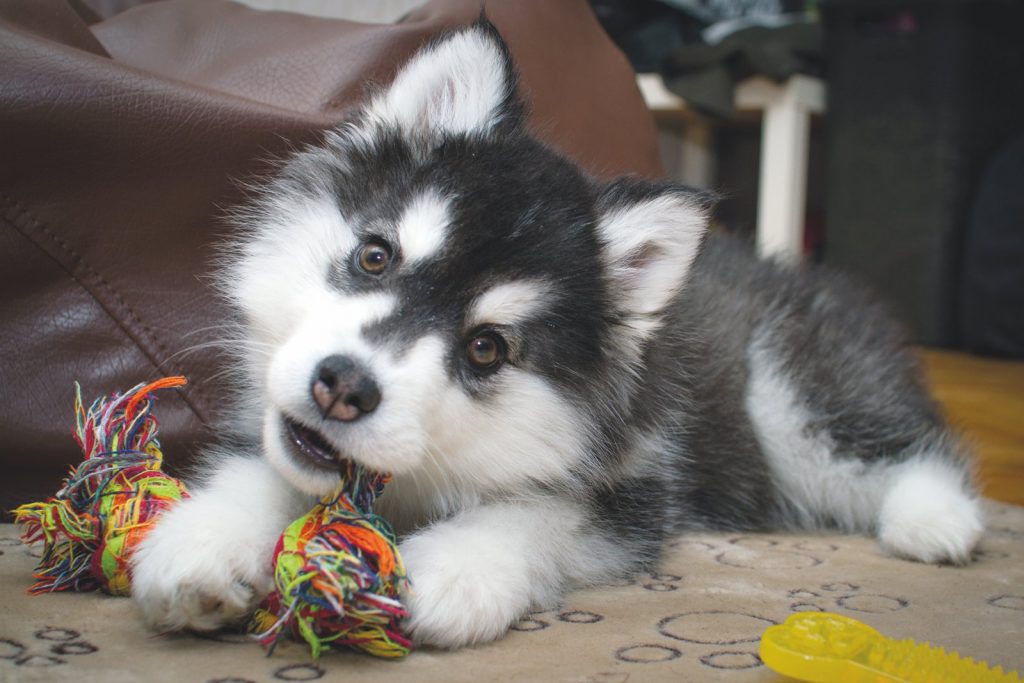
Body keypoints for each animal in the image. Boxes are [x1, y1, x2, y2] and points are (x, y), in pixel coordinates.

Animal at [130, 20, 983, 647]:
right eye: (375, 256)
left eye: (486, 347)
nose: (341, 387)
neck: (421, 479)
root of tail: (811, 278)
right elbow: (264, 466)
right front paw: (202, 541)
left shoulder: (636, 487)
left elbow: (536, 512)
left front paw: (454, 570)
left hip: (792, 399)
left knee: (906, 448)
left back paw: (935, 520)